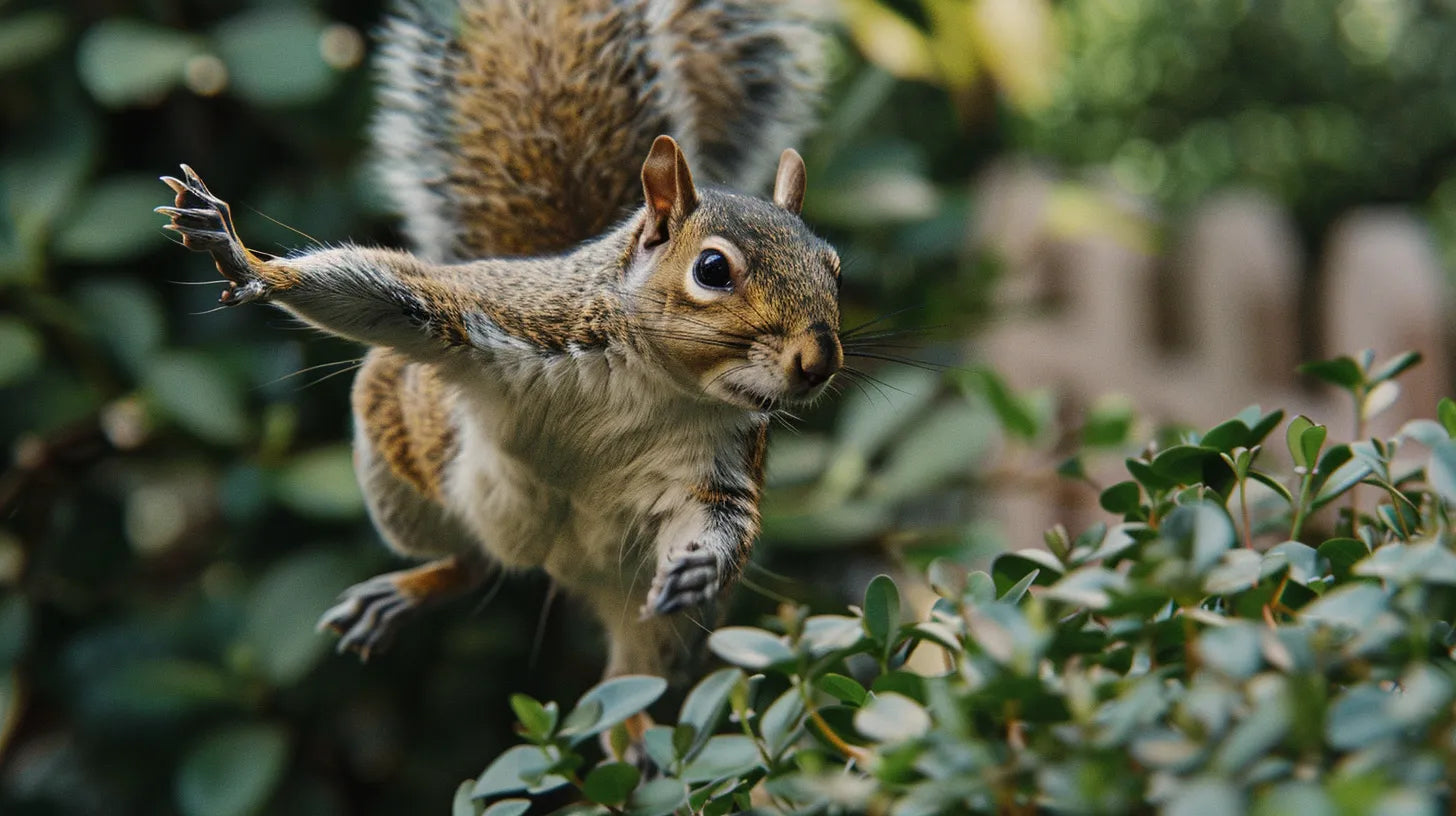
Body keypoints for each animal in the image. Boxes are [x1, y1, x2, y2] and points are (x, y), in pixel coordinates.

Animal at [156, 0, 844, 699]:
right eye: (711, 269)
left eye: (833, 267)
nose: (819, 363)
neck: (654, 381)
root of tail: (555, 566)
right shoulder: (506, 318)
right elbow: (384, 289)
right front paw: (246, 260)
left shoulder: (720, 460)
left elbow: (722, 516)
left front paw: (701, 563)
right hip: (403, 473)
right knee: (473, 562)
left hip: (657, 623)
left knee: (631, 685)